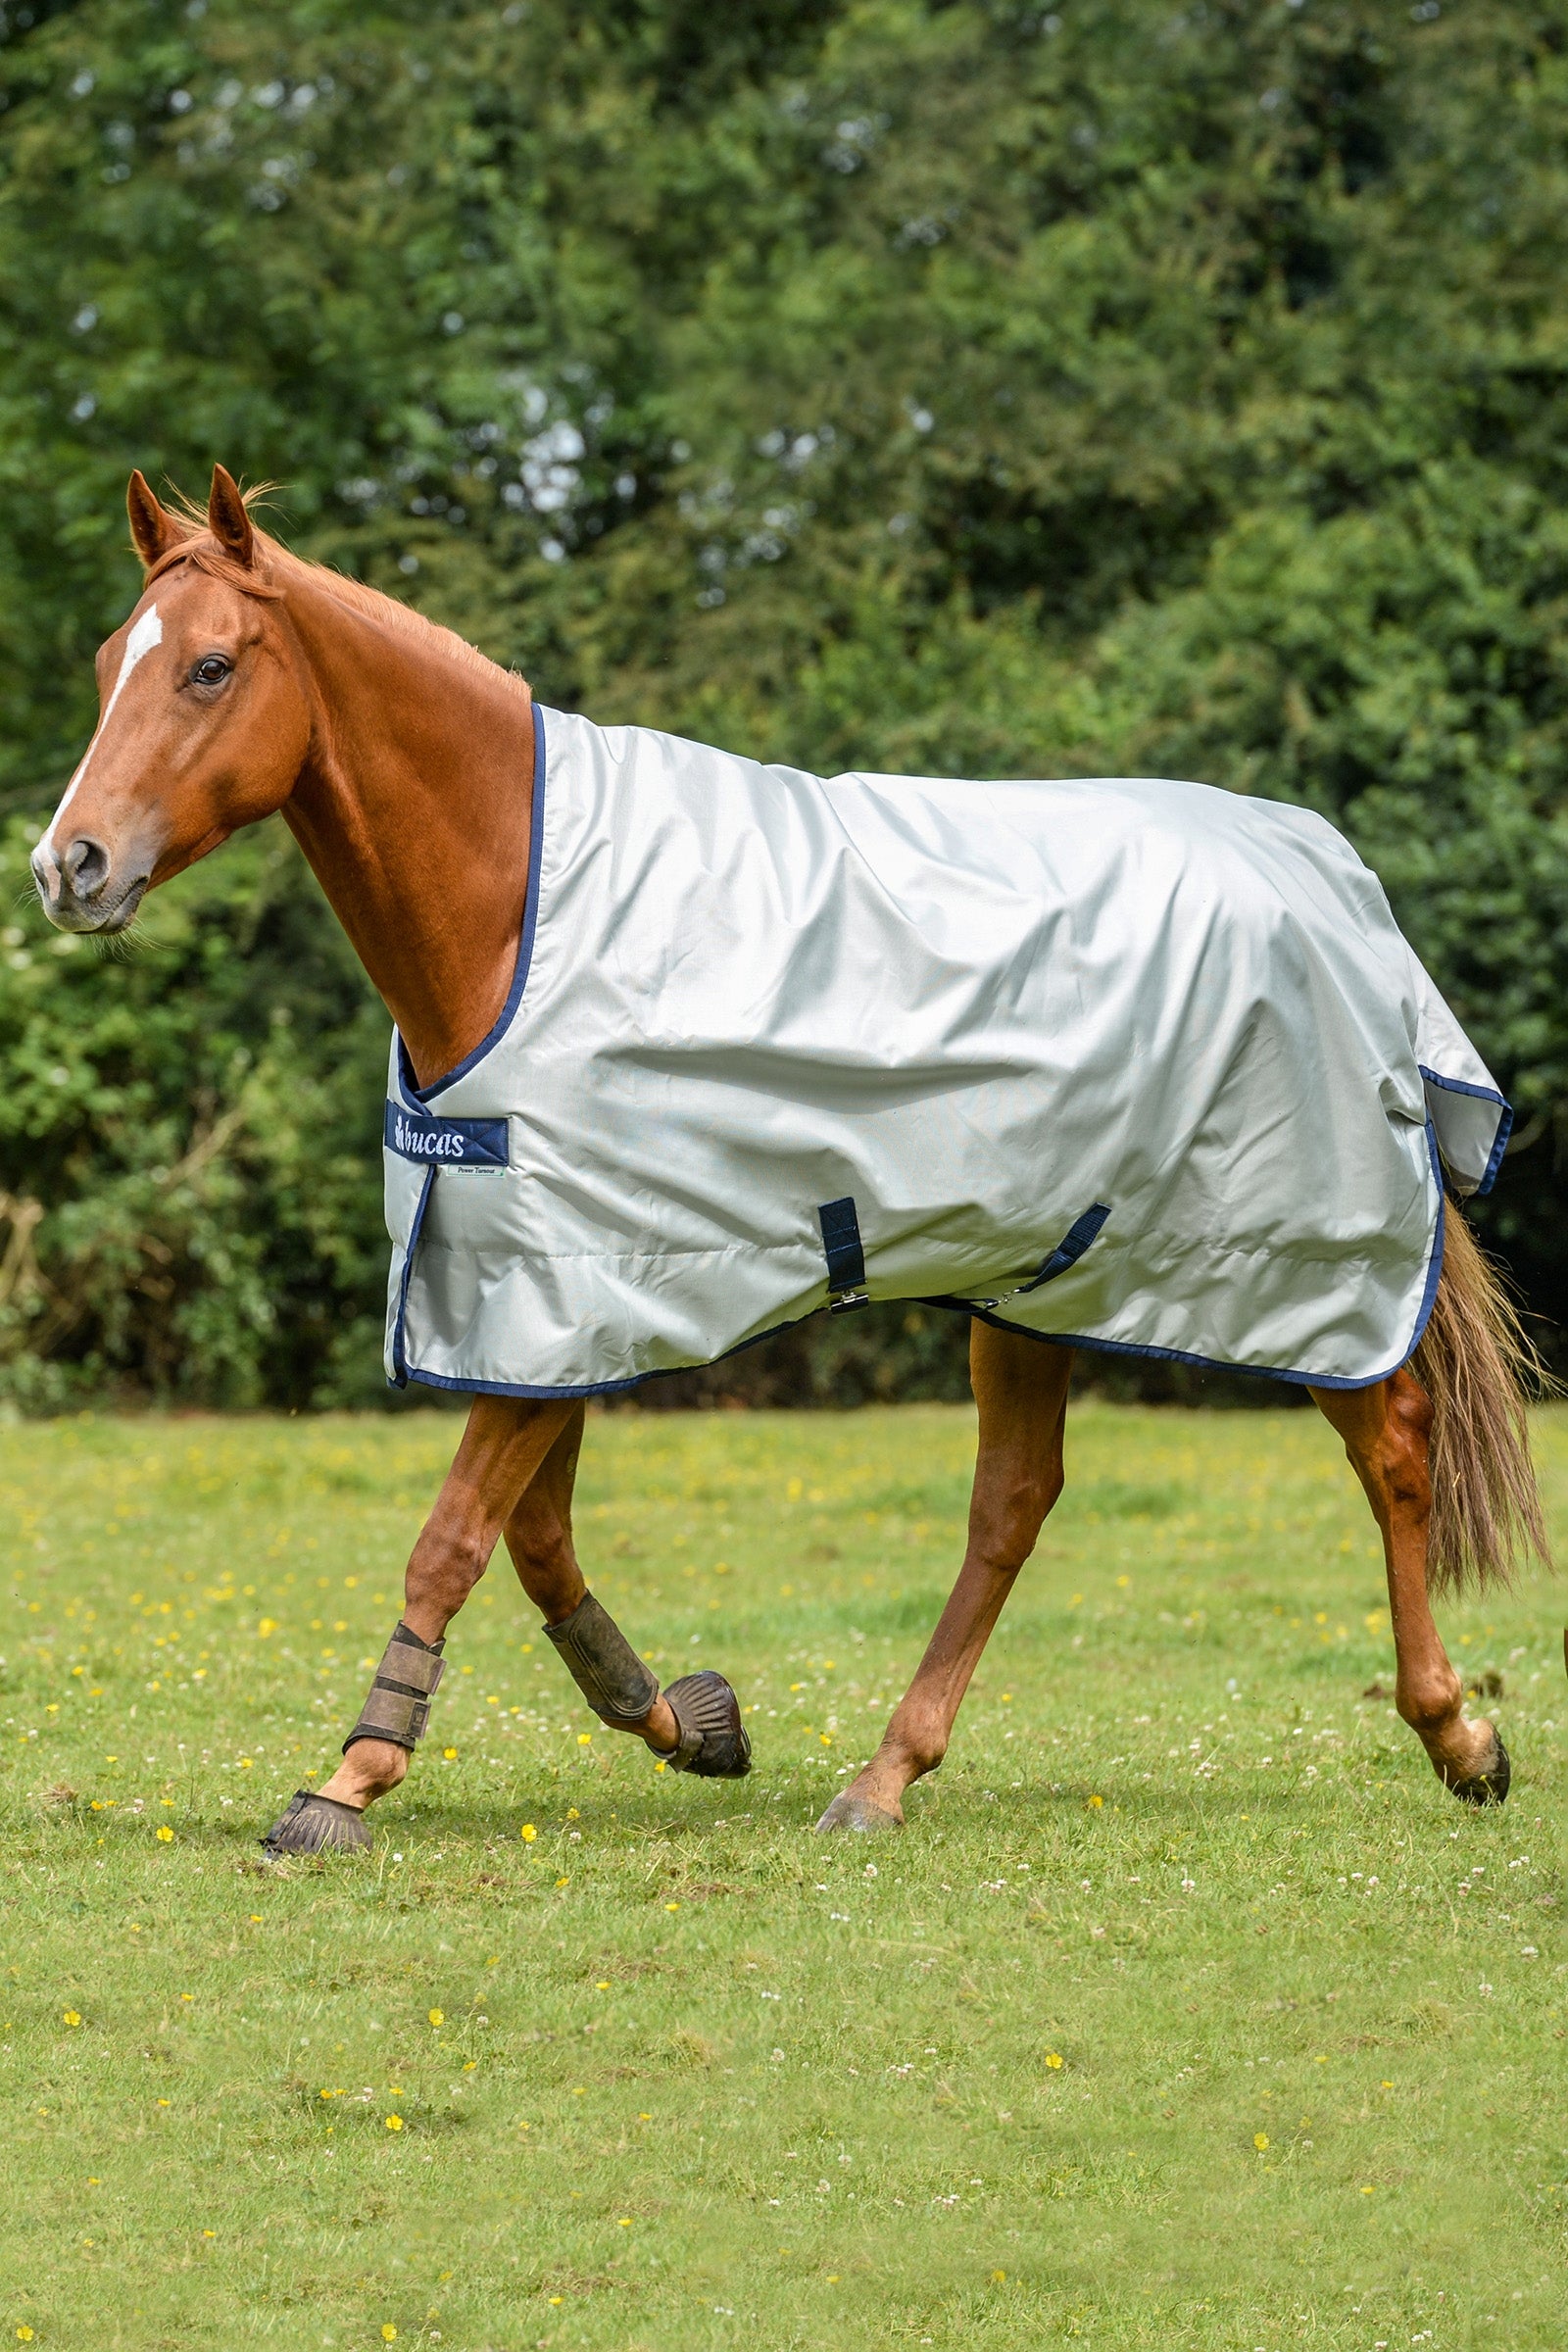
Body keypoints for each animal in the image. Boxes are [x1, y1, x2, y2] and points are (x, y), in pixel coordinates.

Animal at [31, 466, 1549, 1853]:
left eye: (212, 666)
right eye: (109, 664)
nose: (68, 866)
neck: (519, 903)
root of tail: (1329, 878)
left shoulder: (557, 1303)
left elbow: (454, 1538)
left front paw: (348, 1779)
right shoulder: (546, 1297)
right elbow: (535, 1542)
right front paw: (687, 1721)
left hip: (1303, 1264)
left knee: (1390, 1446)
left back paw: (1457, 1735)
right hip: (1042, 1277)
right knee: (1013, 1506)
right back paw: (885, 1776)